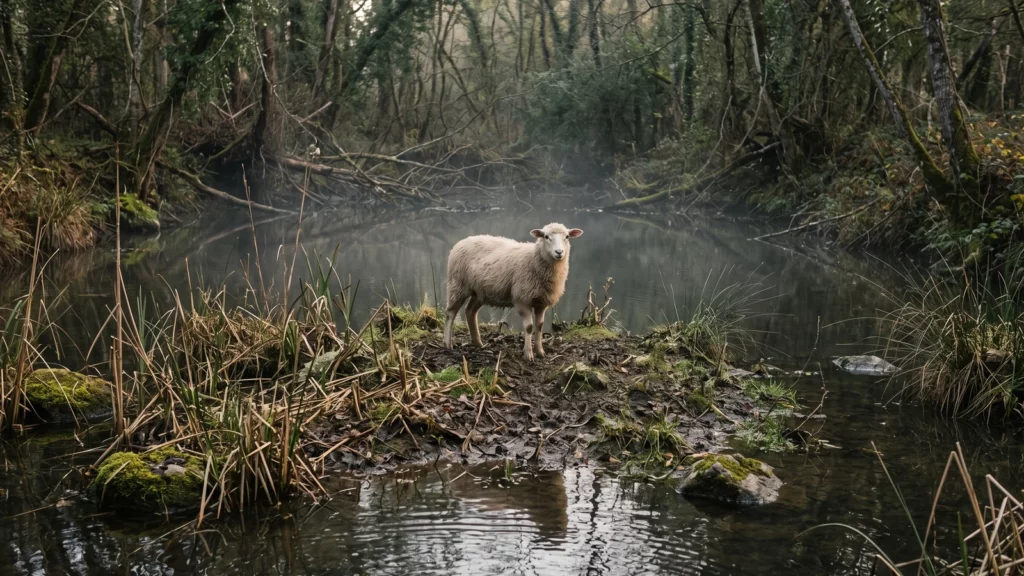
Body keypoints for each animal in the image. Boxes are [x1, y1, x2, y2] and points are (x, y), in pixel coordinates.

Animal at [443, 223, 584, 360]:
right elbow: (529, 327)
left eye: (567, 237)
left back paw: (477, 343)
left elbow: (539, 326)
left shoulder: (541, 302)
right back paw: (447, 344)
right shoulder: (522, 299)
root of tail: (461, 242)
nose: (559, 252)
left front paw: (540, 352)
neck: (534, 260)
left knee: (470, 311)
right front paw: (528, 354)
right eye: (546, 237)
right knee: (450, 313)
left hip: (479, 292)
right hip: (457, 285)